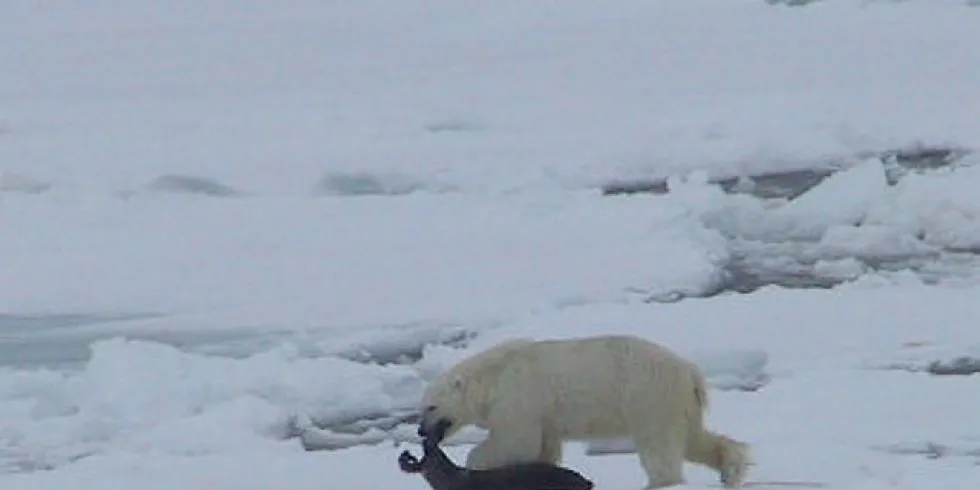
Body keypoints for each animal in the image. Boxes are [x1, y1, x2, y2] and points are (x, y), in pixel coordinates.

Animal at [420, 334, 752, 488]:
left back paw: (660, 482)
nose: (421, 430)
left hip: (648, 396)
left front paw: (475, 463)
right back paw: (731, 469)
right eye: (419, 408)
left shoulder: (519, 396)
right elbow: (543, 447)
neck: (492, 376)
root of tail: (691, 373)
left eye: (431, 406)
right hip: (677, 402)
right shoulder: (544, 414)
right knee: (694, 439)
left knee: (660, 445)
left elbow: (515, 441)